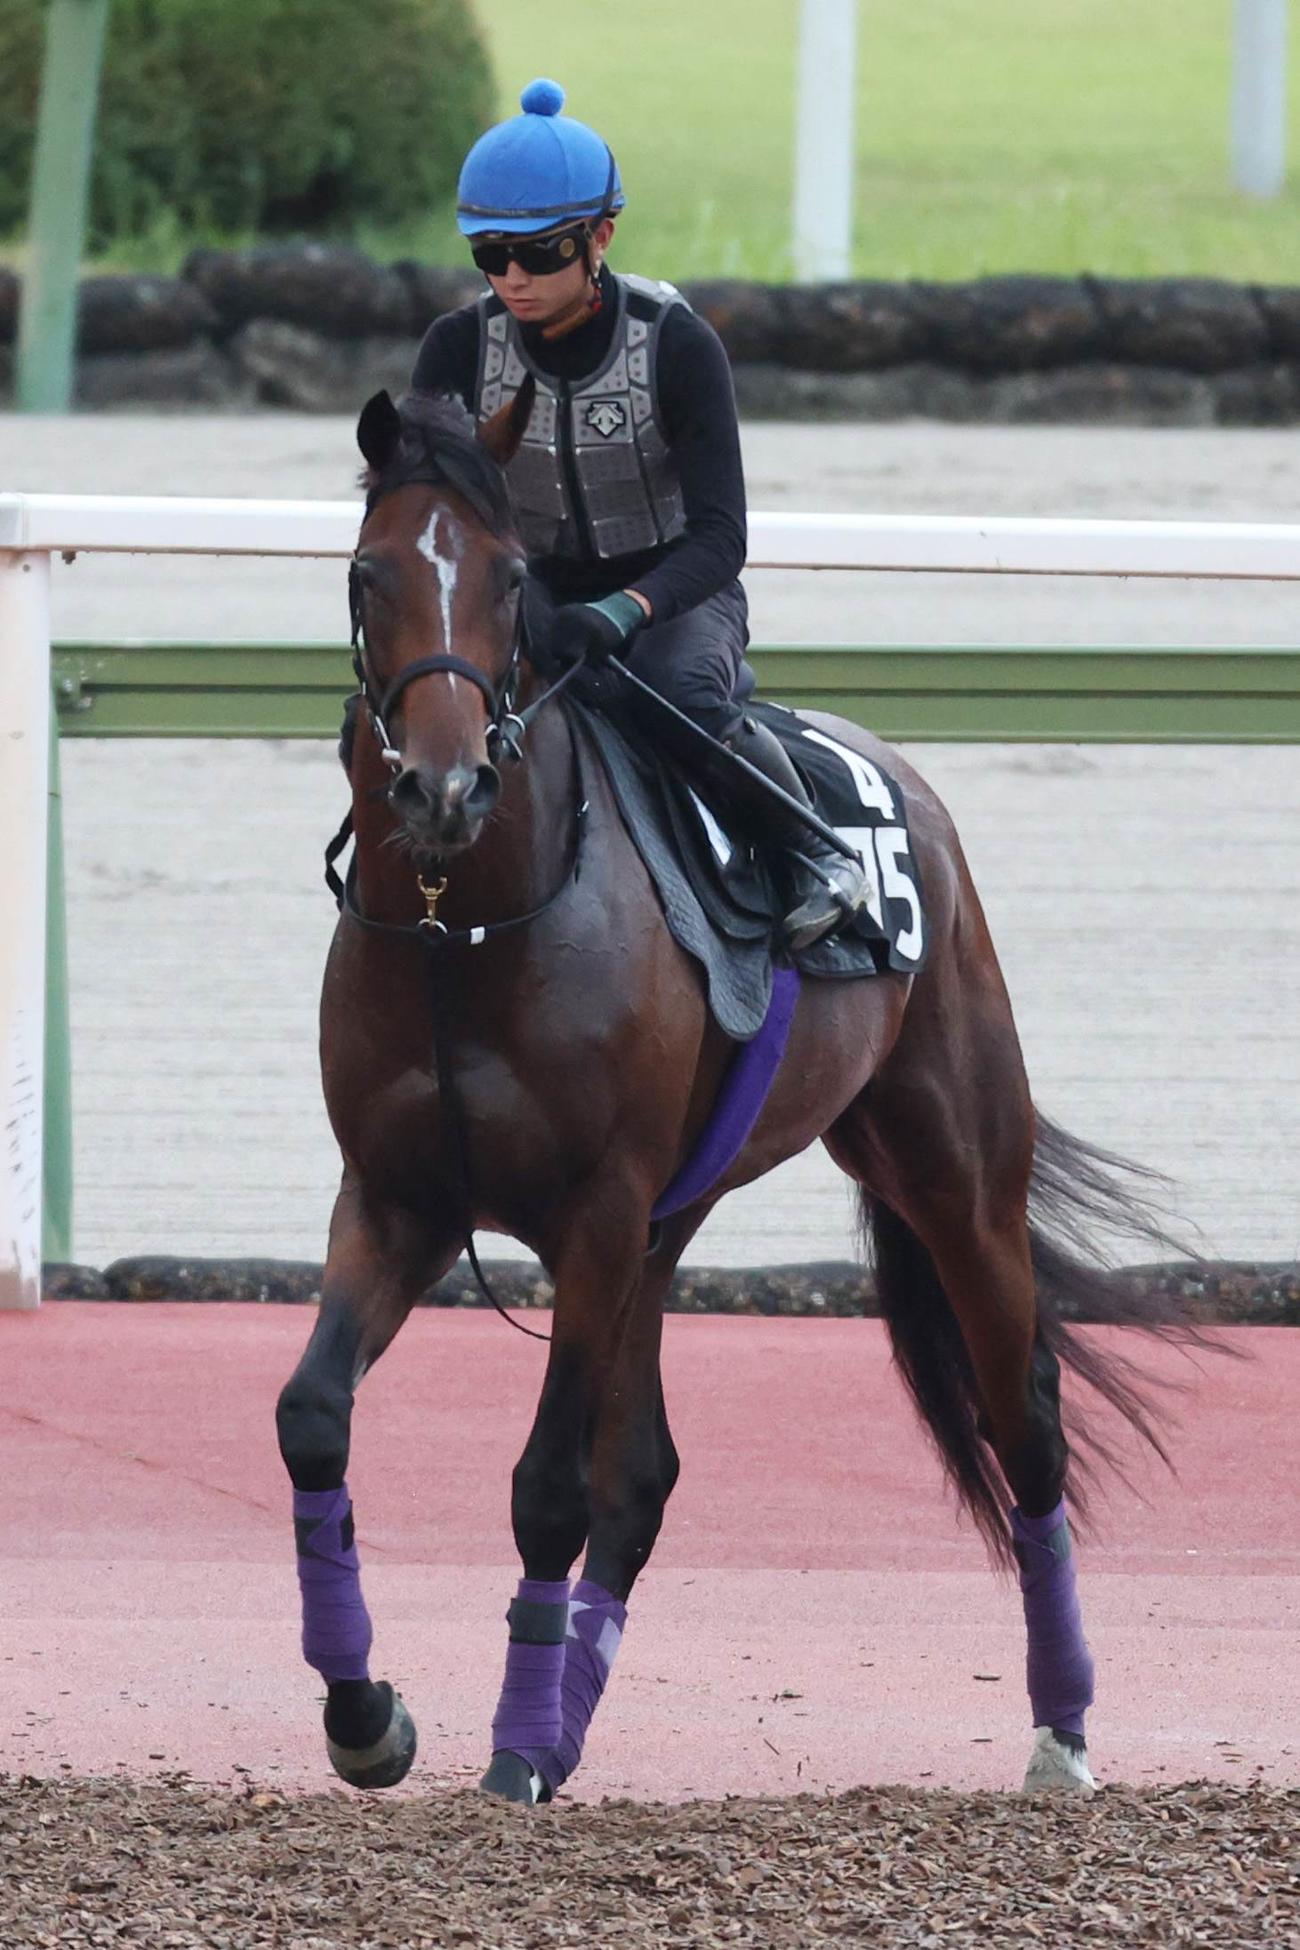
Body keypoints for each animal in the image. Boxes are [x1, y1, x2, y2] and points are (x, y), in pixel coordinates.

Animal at [275, 386, 1194, 1804]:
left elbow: (546, 1487)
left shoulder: (596, 1210)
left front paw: (506, 1756)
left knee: (1023, 1421)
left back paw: (1062, 1729)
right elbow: (317, 1417)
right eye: (369, 576)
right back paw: (564, 1722)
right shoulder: (399, 1199)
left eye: (514, 578)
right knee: (644, 1473)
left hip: (952, 1173)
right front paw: (368, 1714)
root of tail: (898, 776)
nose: (442, 785)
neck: (463, 927)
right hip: (672, 1219)